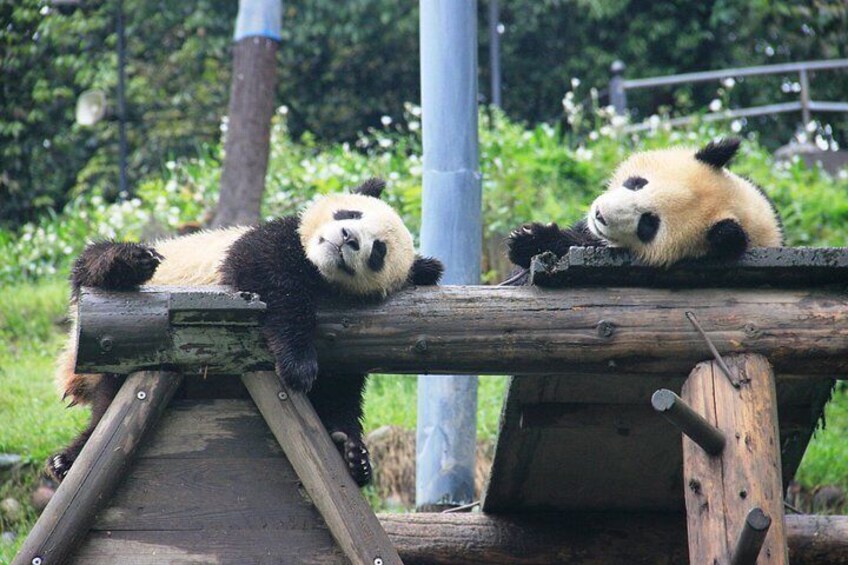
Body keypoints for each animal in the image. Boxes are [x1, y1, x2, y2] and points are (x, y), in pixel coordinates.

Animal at [51, 178, 443, 487]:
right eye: (350, 214)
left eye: (378, 251)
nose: (347, 238)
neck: (321, 275)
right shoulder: (265, 243)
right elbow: (270, 275)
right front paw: (299, 363)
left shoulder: (350, 348)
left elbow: (338, 396)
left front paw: (352, 453)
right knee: (93, 263)